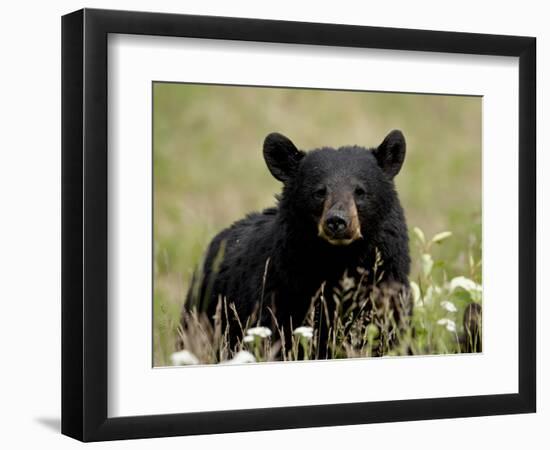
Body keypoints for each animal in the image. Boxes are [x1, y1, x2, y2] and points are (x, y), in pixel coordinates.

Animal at [187, 131, 414, 358]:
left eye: (360, 191)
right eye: (319, 192)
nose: (337, 221)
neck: (340, 260)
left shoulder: (388, 291)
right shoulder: (280, 294)